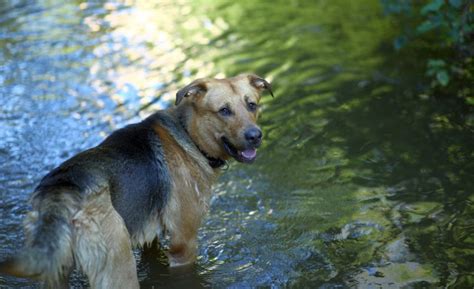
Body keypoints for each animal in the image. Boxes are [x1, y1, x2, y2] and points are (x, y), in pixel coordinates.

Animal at [0, 74, 272, 288]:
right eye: (224, 110)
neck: (188, 135)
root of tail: (63, 189)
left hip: (56, 272)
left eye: (252, 105)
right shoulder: (183, 243)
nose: (255, 136)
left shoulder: (149, 236)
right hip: (118, 267)